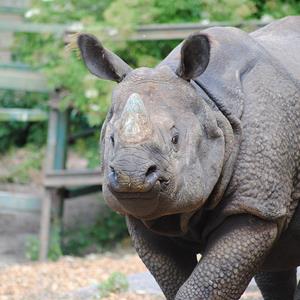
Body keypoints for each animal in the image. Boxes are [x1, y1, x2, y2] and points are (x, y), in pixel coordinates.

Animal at [78, 16, 300, 300]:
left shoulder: (254, 206)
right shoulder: (145, 217)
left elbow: (203, 286)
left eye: (175, 139)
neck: (211, 109)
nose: (132, 175)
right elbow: (175, 282)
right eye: (112, 139)